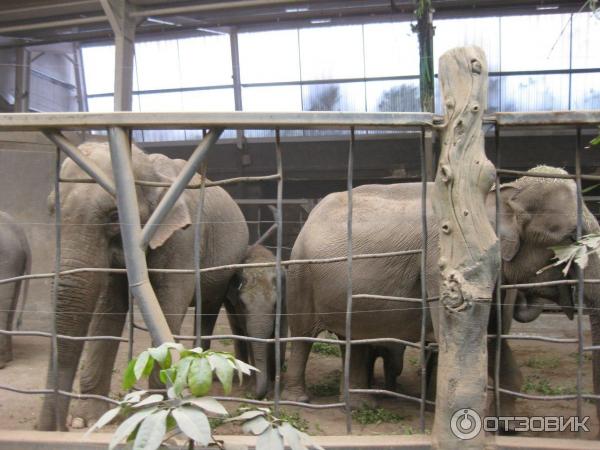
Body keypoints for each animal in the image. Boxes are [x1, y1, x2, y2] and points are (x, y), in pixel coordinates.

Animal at [35, 142, 248, 430]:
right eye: (51, 212)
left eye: (115, 215)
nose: (55, 428)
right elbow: (108, 309)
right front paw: (87, 419)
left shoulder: (184, 239)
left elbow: (168, 307)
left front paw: (161, 410)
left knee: (208, 310)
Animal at [227, 244, 288, 400]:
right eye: (243, 304)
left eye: (275, 304)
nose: (256, 395)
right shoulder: (239, 310)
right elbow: (249, 339)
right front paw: (253, 386)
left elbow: (281, 334)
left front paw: (274, 388)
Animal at [284, 165, 600, 426]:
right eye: (571, 237)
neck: (496, 195)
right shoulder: (444, 263)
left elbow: (492, 336)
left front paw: (507, 427)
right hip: (301, 275)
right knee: (303, 335)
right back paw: (301, 401)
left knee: (355, 338)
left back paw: (360, 405)